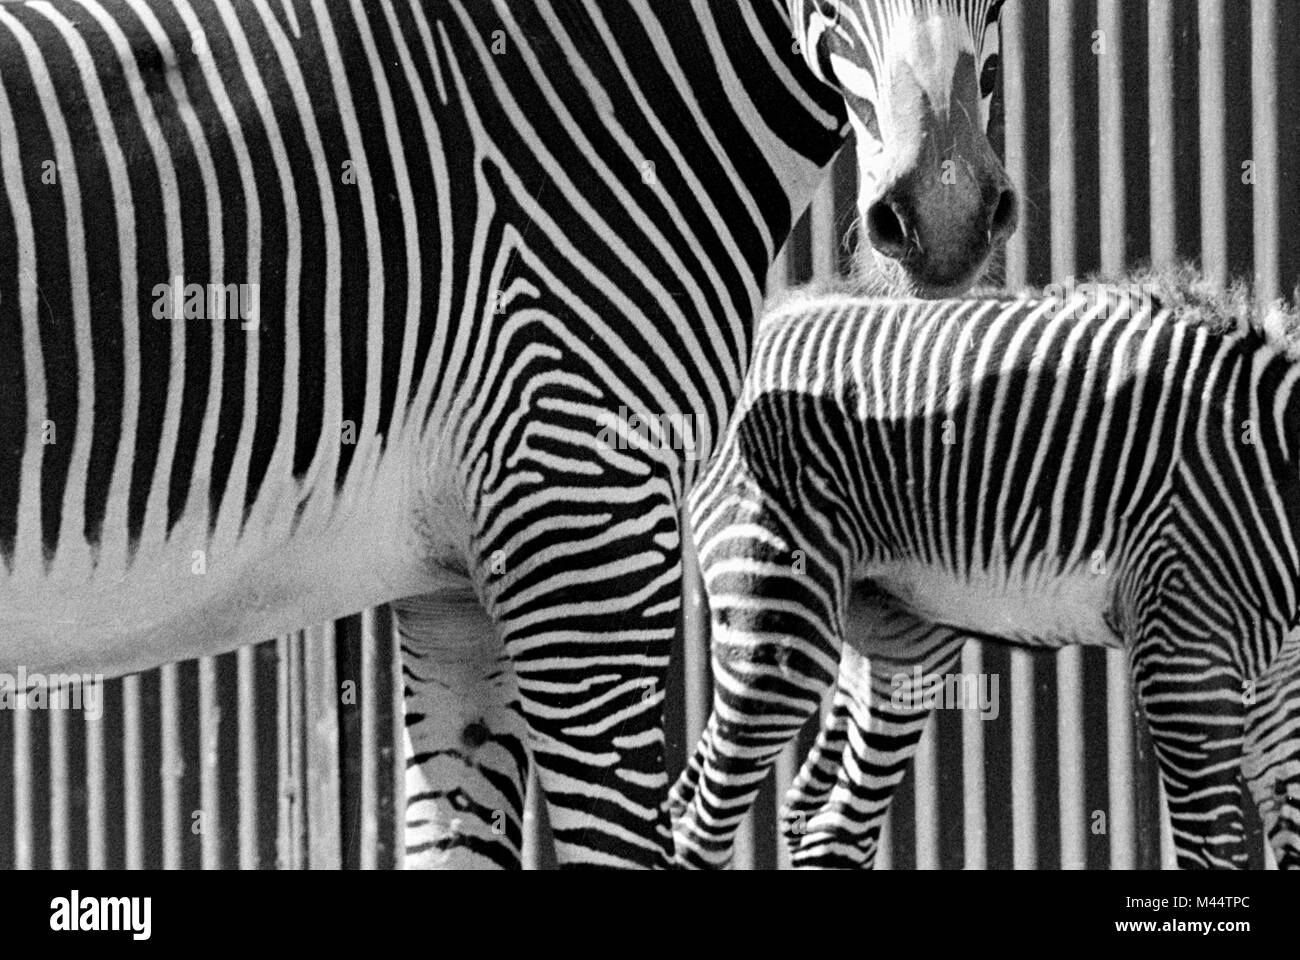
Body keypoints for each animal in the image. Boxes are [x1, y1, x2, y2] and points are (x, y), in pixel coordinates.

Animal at [670, 274, 1300, 869]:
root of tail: (775, 315)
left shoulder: (1278, 679)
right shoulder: (1185, 659)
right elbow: (1214, 850)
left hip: (899, 636)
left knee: (825, 826)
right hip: (777, 613)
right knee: (699, 825)